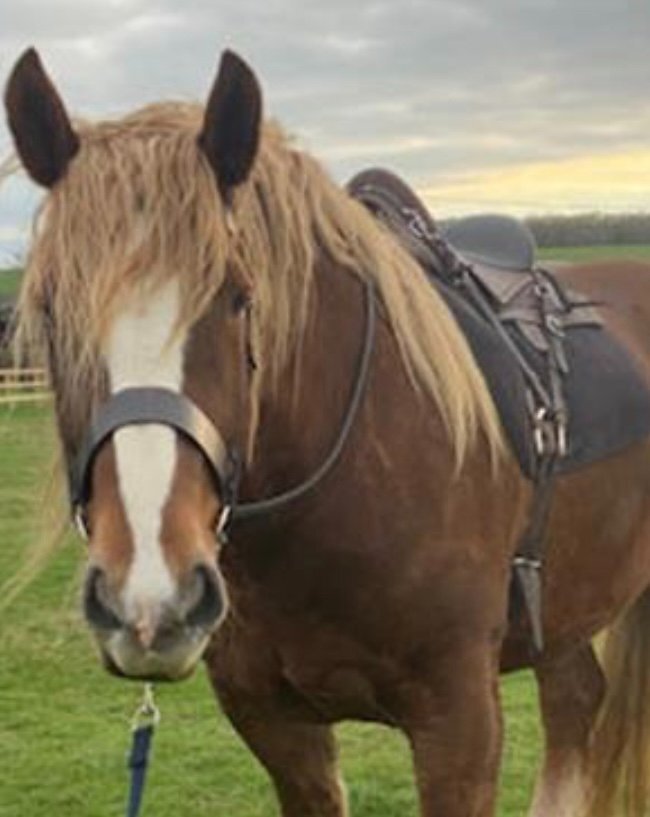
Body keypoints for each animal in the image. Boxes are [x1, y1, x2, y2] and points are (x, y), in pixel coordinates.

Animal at [6, 46, 650, 817]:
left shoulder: (460, 722)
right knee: (575, 699)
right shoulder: (277, 726)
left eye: (239, 299)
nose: (151, 601)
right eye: (49, 311)